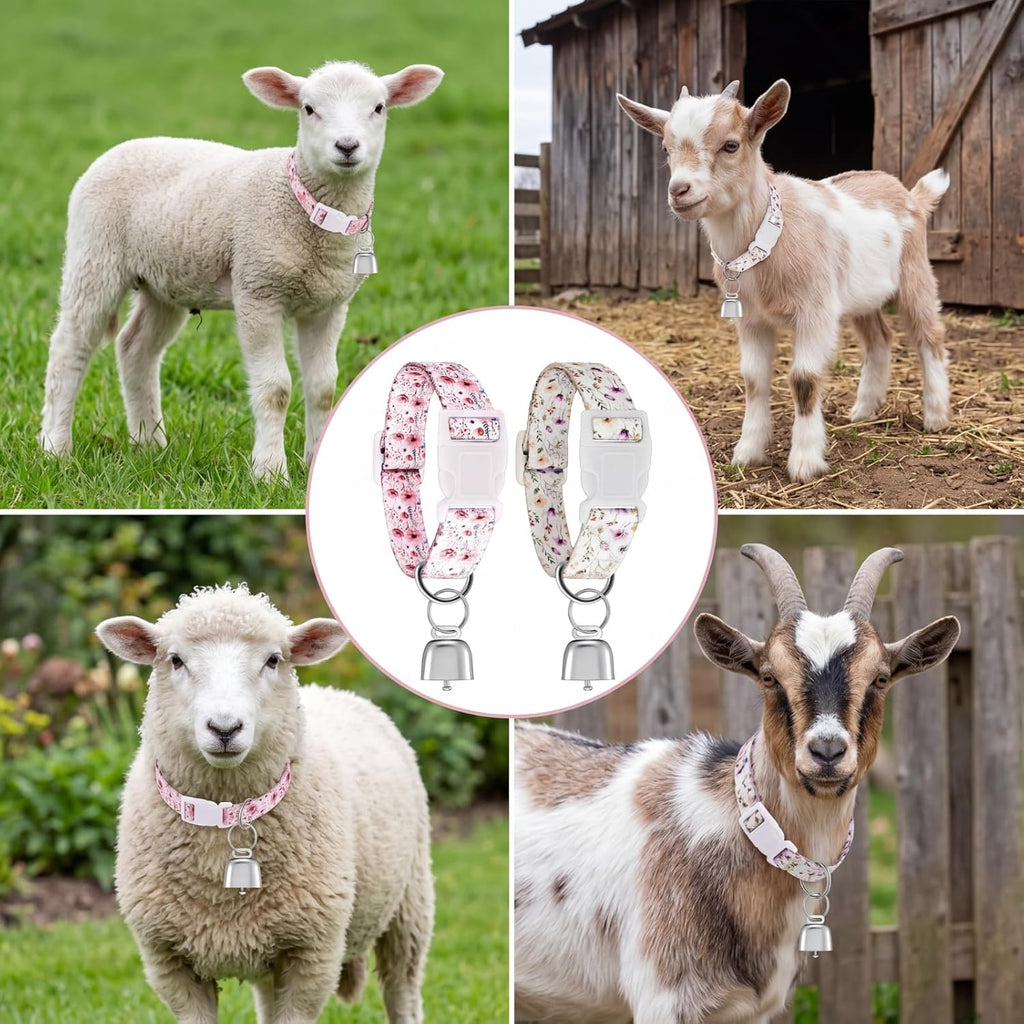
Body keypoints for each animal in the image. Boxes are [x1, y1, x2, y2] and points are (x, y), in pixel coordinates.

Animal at [41, 60, 444, 481]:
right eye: (308, 109)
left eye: (379, 108)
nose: (347, 146)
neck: (312, 215)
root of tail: (119, 149)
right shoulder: (258, 291)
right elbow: (276, 388)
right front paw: (270, 472)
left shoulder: (328, 305)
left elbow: (322, 388)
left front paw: (313, 462)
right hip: (94, 256)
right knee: (69, 346)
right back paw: (56, 448)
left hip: (164, 281)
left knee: (135, 348)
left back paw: (149, 444)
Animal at [97, 584, 433, 1024]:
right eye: (175, 660)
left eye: (273, 660)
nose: (224, 728)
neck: (227, 817)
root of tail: (333, 691)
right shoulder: (168, 961)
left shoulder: (312, 955)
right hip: (266, 949)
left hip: (410, 902)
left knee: (403, 989)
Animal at [617, 80, 951, 482]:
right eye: (666, 149)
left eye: (731, 145)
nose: (679, 190)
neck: (765, 239)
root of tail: (910, 195)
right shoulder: (751, 320)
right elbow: (753, 380)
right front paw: (747, 452)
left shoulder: (815, 312)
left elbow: (804, 379)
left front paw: (805, 461)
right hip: (859, 296)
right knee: (879, 339)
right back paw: (863, 411)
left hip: (915, 273)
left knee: (929, 335)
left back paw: (936, 416)